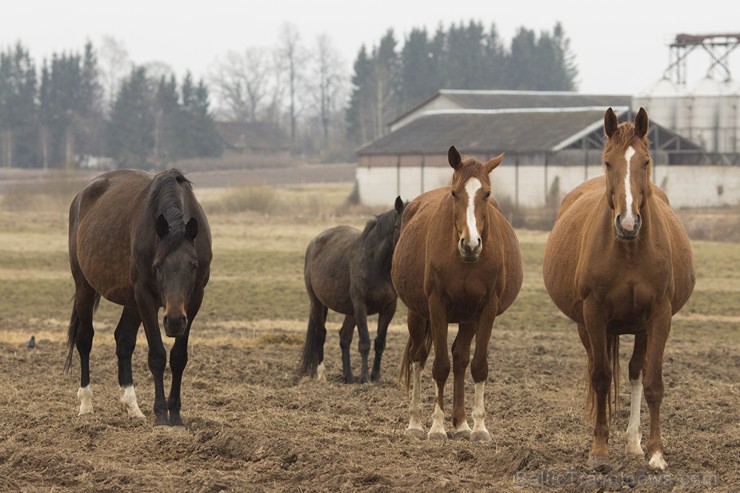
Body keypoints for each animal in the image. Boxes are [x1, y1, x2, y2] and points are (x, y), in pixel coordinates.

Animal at [66, 168, 211, 422]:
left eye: (193, 266)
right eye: (158, 265)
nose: (174, 321)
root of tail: (81, 196)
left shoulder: (194, 300)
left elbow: (178, 357)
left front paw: (175, 414)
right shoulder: (145, 296)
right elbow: (157, 356)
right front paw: (161, 414)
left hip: (131, 301)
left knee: (123, 341)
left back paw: (132, 407)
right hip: (85, 286)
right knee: (84, 339)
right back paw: (86, 404)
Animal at [300, 197, 404, 384]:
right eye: (397, 225)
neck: (377, 263)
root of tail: (314, 242)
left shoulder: (389, 308)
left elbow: (380, 342)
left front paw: (375, 376)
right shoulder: (360, 305)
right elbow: (364, 343)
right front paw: (365, 378)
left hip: (349, 311)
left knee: (344, 337)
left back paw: (348, 376)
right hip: (317, 303)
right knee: (321, 334)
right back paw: (321, 374)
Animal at [394, 146, 520, 442]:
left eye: (487, 193)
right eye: (454, 193)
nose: (471, 244)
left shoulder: (486, 309)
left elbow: (478, 365)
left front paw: (479, 428)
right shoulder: (436, 306)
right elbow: (440, 365)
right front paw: (437, 428)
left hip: (468, 317)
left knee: (461, 357)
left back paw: (461, 424)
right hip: (417, 314)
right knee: (418, 357)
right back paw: (415, 423)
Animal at [544, 107, 692, 468]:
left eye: (646, 162)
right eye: (608, 162)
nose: (628, 222)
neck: (629, 249)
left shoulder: (659, 316)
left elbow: (652, 382)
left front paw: (656, 452)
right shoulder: (594, 313)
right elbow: (600, 377)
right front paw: (599, 449)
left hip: (640, 328)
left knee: (636, 372)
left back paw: (633, 441)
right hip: (586, 326)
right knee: (597, 369)